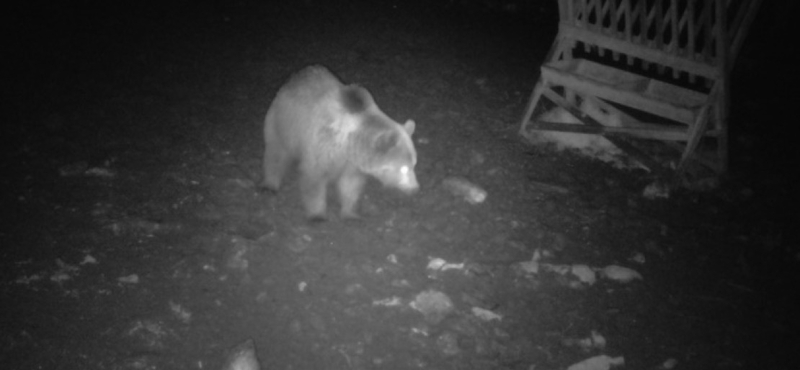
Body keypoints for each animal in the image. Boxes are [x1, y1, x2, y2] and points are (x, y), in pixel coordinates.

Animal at [260, 65, 418, 220]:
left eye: (414, 164)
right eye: (404, 168)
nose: (415, 188)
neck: (349, 142)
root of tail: (297, 75)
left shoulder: (352, 162)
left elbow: (350, 184)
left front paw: (350, 213)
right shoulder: (322, 144)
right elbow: (314, 178)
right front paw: (317, 214)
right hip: (282, 122)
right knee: (276, 153)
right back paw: (270, 185)